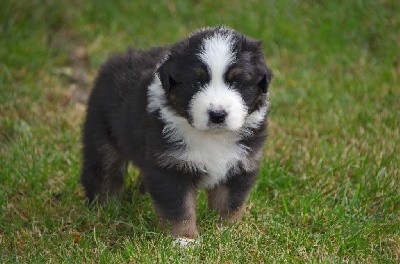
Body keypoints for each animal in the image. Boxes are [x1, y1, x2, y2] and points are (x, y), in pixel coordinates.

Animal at [81, 26, 276, 241]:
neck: (211, 137)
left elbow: (229, 203)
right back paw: (104, 210)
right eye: (197, 82)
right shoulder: (170, 166)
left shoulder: (240, 164)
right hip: (102, 133)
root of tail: (115, 61)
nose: (217, 114)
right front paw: (184, 240)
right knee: (103, 173)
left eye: (237, 82)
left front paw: (227, 232)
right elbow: (179, 207)